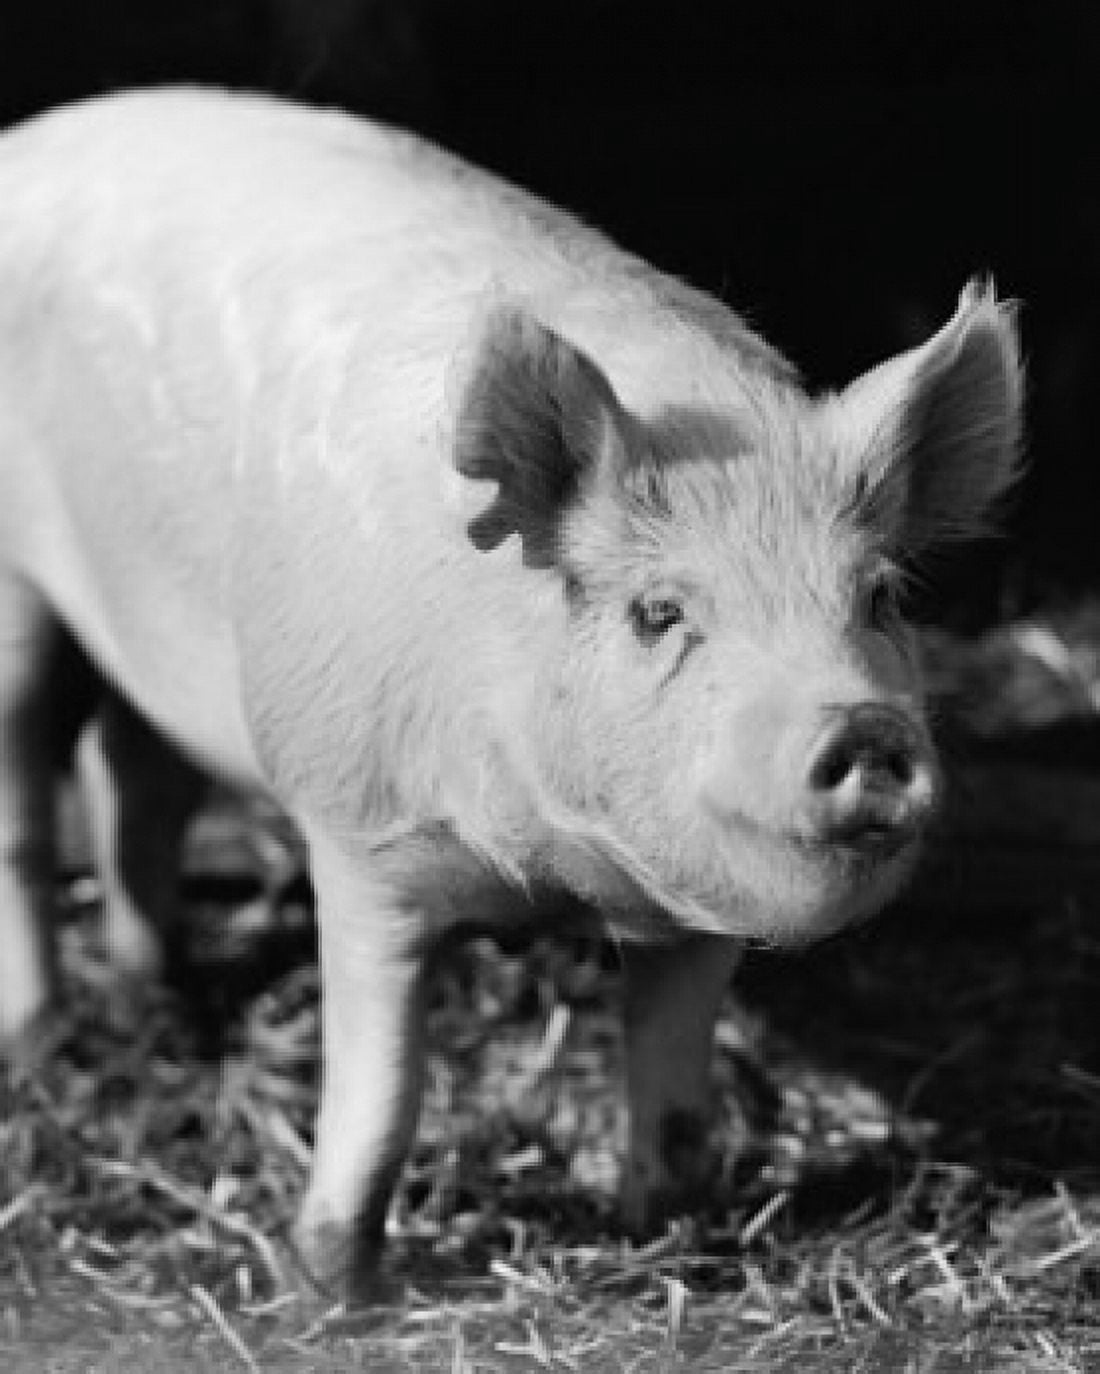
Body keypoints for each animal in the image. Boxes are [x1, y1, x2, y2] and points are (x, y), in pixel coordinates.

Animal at [0, 88, 1021, 1298]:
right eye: (658, 614)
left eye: (878, 597)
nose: (859, 724)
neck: (548, 866)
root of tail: (31, 139)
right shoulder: (357, 827)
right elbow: (385, 1091)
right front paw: (334, 1287)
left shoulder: (696, 912)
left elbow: (674, 1087)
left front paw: (669, 1232)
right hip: (16, 592)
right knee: (27, 799)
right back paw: (44, 1037)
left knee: (134, 775)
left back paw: (154, 1003)